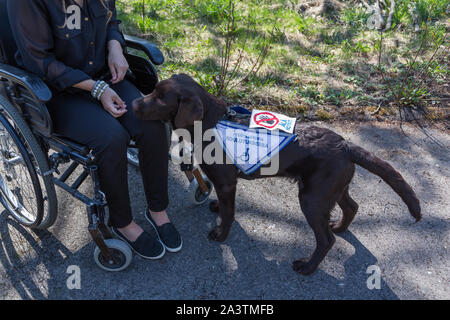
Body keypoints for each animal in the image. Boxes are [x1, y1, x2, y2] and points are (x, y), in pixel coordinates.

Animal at [131, 74, 422, 276]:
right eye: (153, 91)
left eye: (161, 97)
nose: (133, 103)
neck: (209, 123)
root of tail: (346, 145)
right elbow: (224, 207)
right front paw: (215, 207)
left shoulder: (227, 183)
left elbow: (229, 213)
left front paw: (221, 234)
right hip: (332, 188)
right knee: (351, 207)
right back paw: (339, 227)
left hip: (312, 198)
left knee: (325, 240)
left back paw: (307, 267)